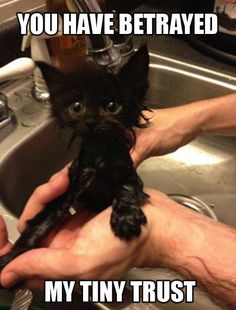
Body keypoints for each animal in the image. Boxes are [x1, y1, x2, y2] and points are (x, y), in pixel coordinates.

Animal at [0, 44, 150, 270]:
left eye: (112, 106)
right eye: (76, 107)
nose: (91, 121)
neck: (100, 156)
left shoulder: (128, 173)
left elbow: (127, 188)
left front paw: (126, 218)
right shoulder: (73, 184)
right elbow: (44, 220)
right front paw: (12, 255)